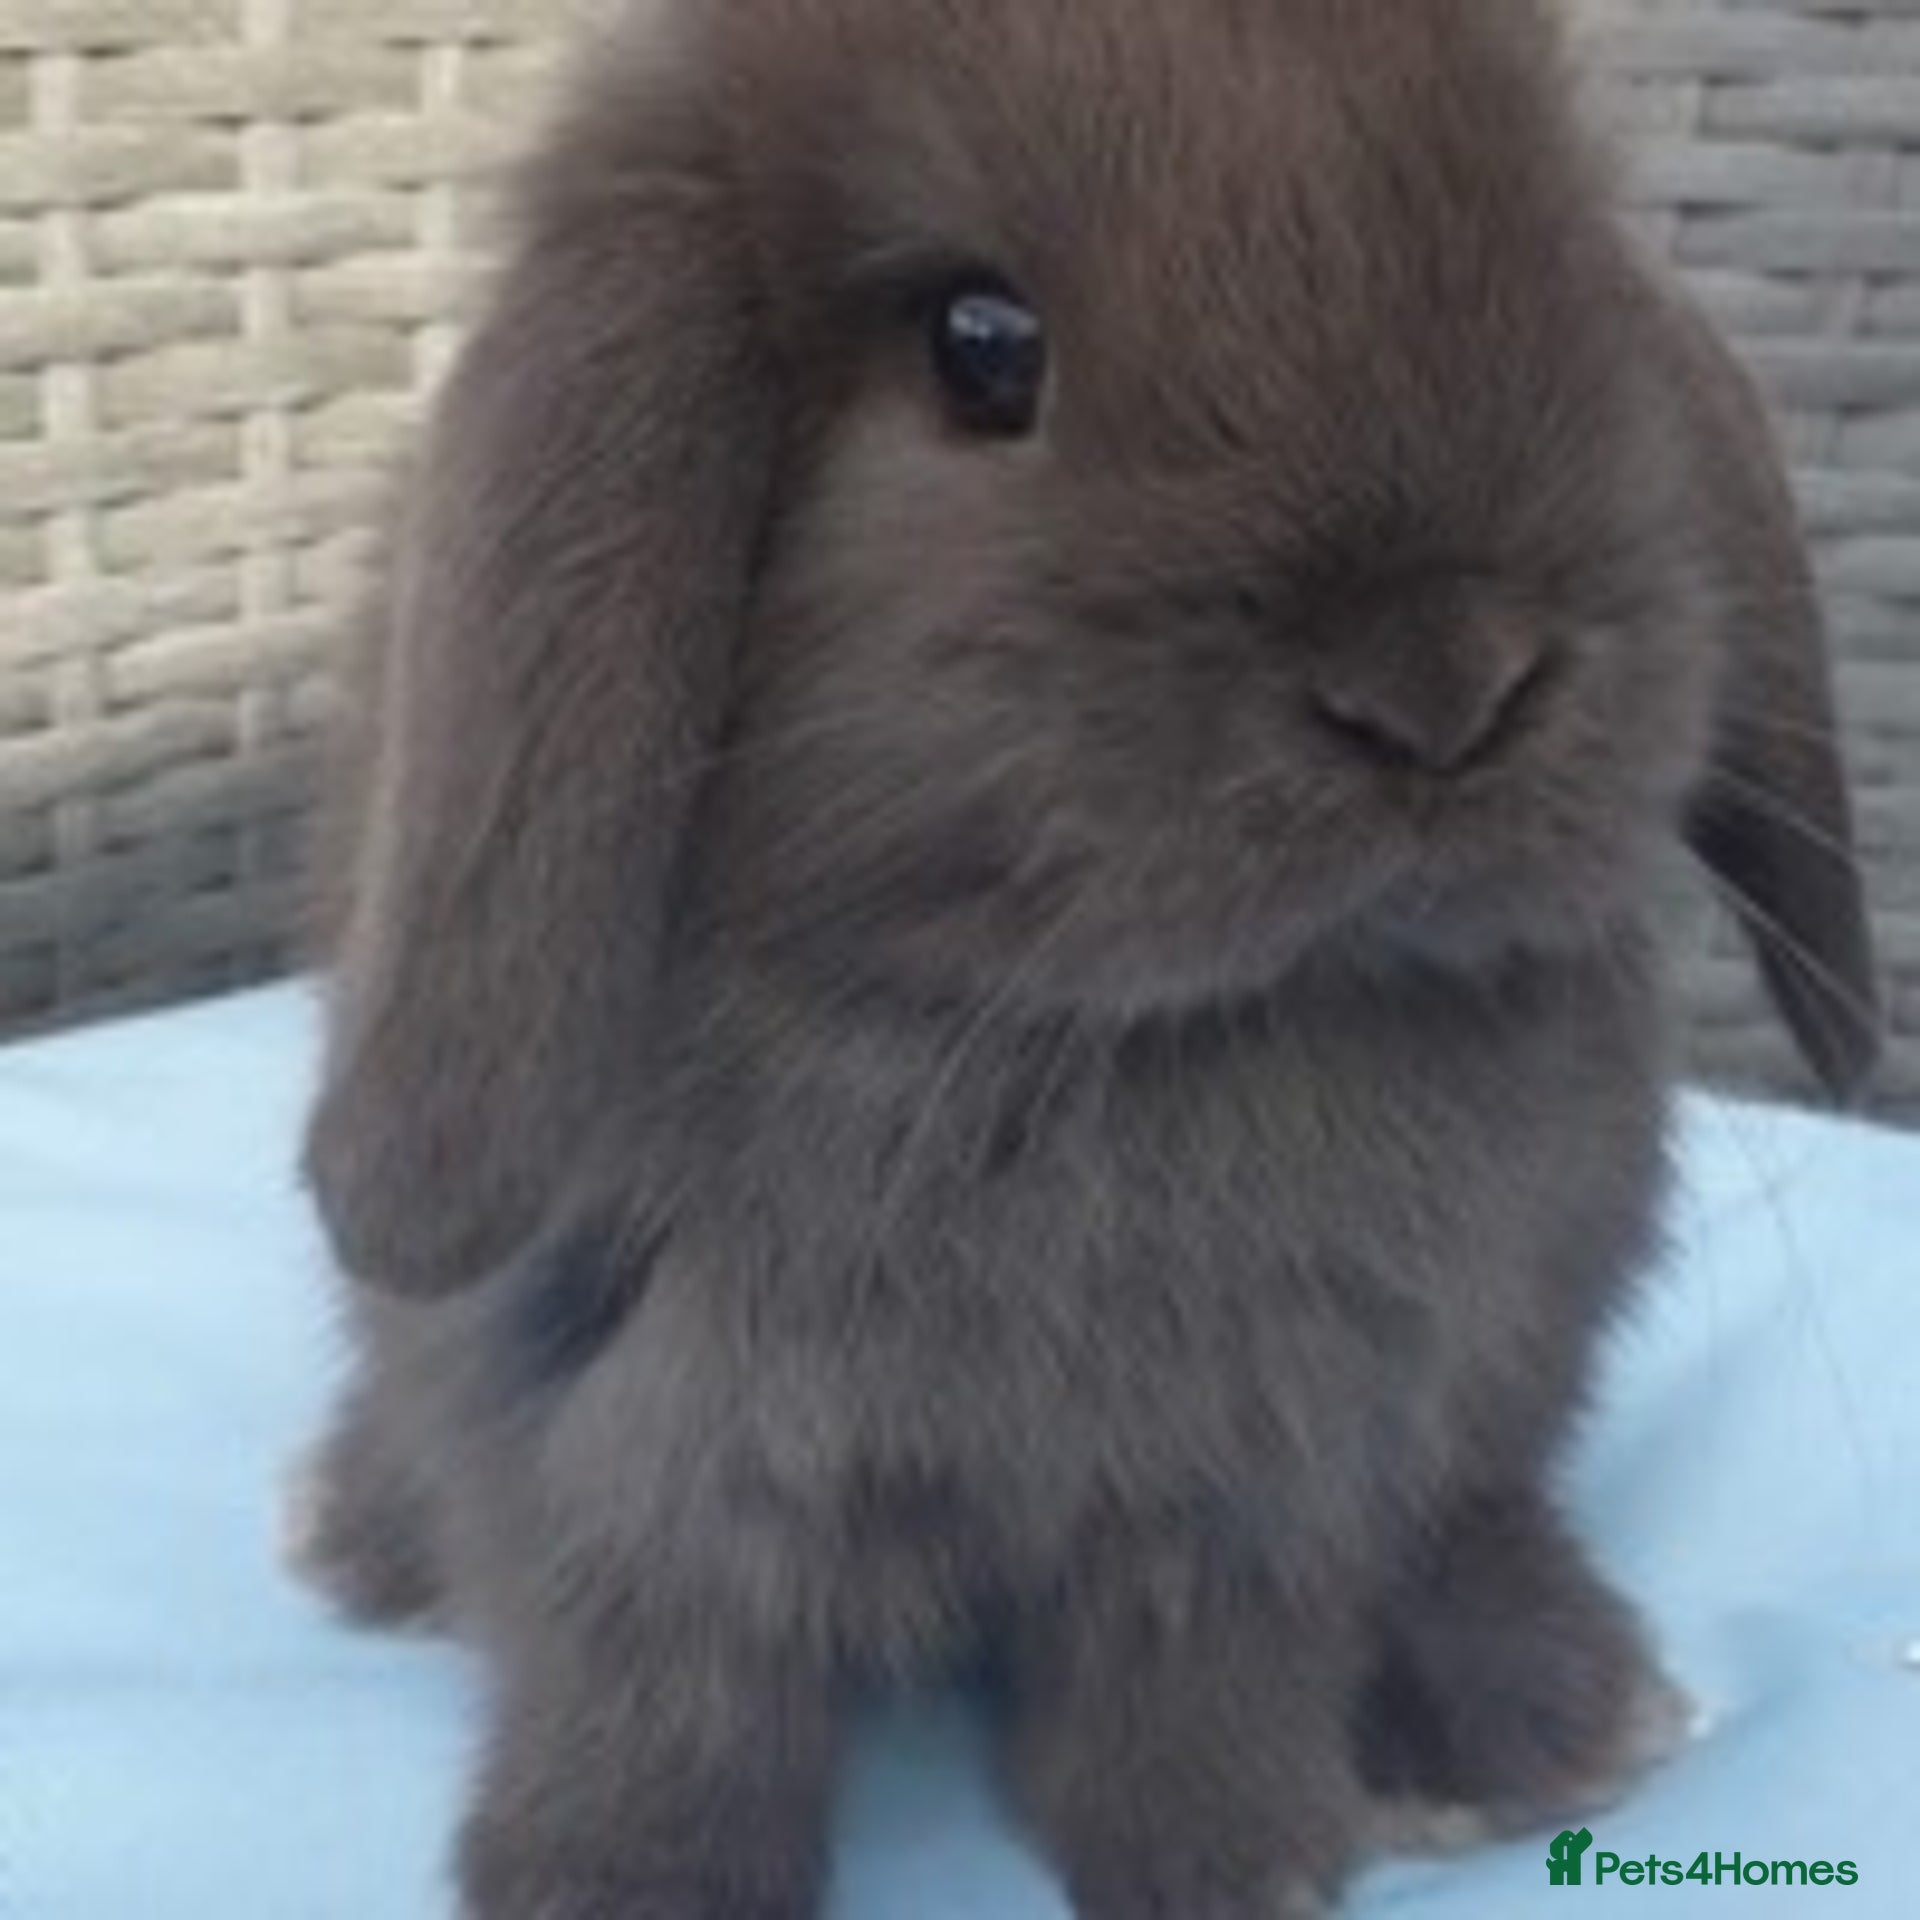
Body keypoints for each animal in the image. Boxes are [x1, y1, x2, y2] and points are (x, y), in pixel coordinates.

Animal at [288, 0, 1881, 1915]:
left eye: (1559, 248)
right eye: (982, 343)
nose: (1445, 683)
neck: (1086, 1043)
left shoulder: (1258, 1481)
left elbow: (1188, 1682)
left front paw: (1236, 1867)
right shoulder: (633, 1452)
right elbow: (661, 1689)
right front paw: (613, 1886)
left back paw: (1547, 1717)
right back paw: (365, 1549)